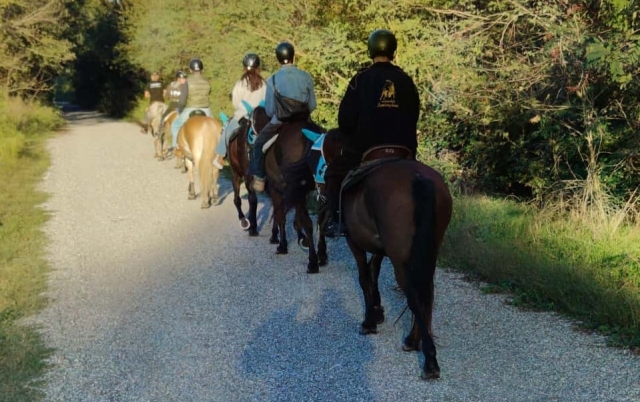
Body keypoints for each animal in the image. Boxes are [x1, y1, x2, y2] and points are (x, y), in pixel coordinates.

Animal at [319, 128, 452, 379]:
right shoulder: (379, 247)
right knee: (426, 291)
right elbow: (374, 272)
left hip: (401, 259)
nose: (320, 190)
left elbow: (364, 277)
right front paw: (378, 310)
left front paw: (369, 321)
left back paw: (429, 359)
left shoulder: (354, 242)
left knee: (413, 293)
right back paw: (414, 340)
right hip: (429, 250)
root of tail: (419, 179)